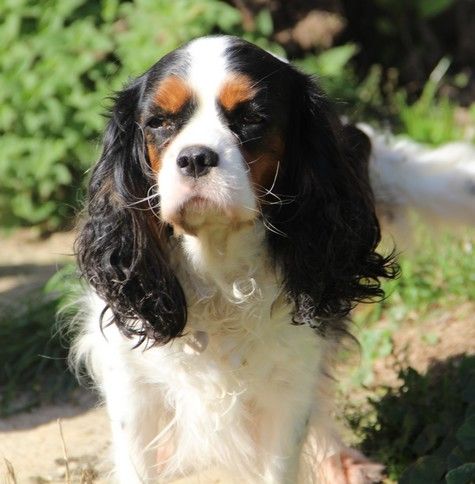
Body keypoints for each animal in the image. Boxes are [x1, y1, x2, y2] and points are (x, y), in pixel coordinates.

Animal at [71, 35, 474, 483]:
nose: (194, 157)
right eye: (158, 122)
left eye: (252, 118)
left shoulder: (291, 380)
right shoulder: (132, 382)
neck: (218, 267)